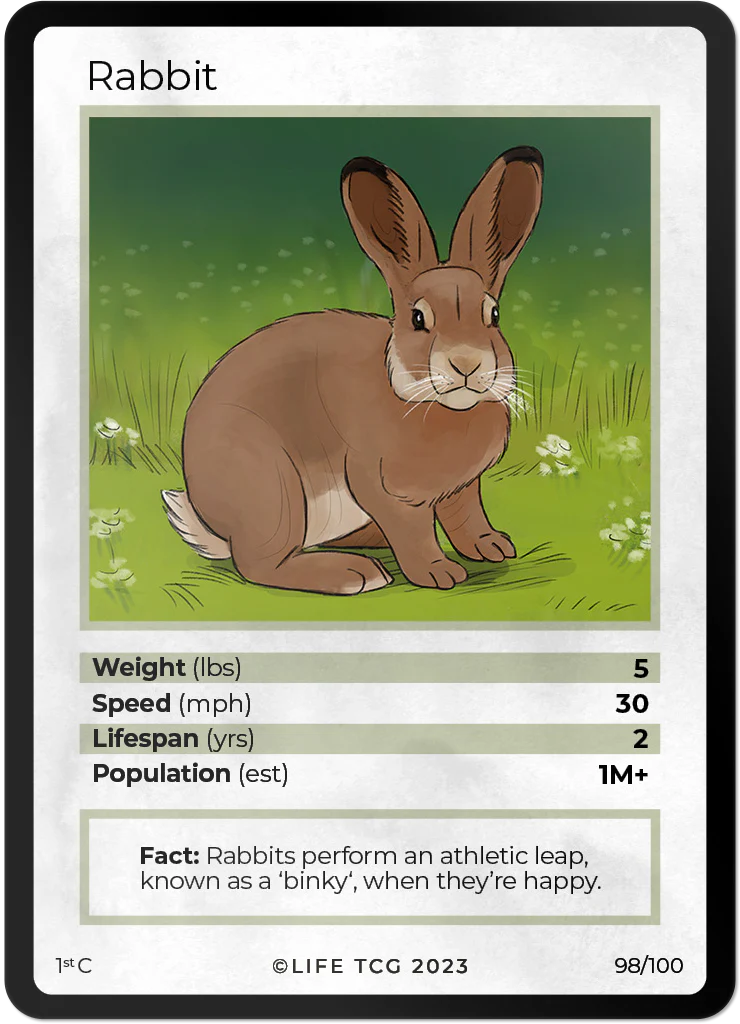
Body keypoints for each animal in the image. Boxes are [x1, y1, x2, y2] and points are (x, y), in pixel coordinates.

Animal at [163, 146, 544, 595]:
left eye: (494, 315)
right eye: (418, 318)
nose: (466, 362)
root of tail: (208, 519)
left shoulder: (462, 488)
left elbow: (467, 517)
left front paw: (493, 547)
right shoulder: (380, 485)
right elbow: (412, 531)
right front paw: (437, 573)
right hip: (270, 488)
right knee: (262, 564)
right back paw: (354, 573)